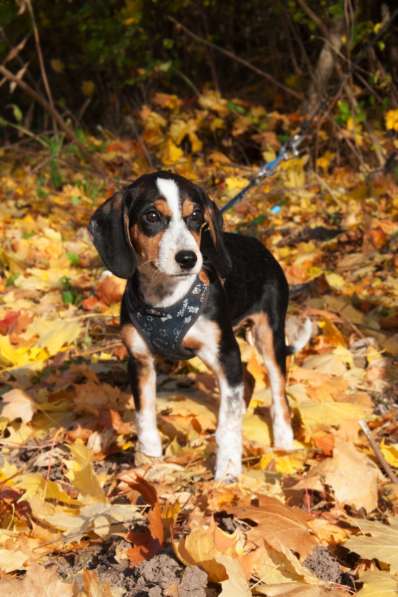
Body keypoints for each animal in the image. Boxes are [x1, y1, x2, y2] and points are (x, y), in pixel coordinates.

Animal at [88, 171, 310, 480]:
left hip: (267, 336)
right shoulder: (139, 361)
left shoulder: (226, 355)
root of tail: (262, 249)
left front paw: (227, 474)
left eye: (195, 216)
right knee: (247, 383)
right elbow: (145, 417)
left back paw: (284, 444)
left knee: (279, 395)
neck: (166, 297)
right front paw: (149, 462)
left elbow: (227, 426)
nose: (188, 258)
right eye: (152, 216)